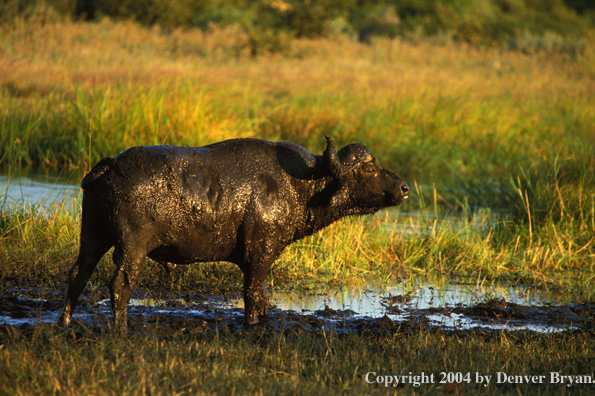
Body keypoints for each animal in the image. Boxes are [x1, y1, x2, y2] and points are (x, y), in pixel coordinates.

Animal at [58, 135, 408, 330]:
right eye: (369, 169)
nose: (404, 187)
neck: (299, 185)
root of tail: (112, 165)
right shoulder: (260, 256)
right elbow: (254, 295)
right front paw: (254, 327)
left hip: (92, 237)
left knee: (77, 274)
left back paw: (64, 323)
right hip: (132, 247)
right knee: (120, 284)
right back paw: (121, 329)